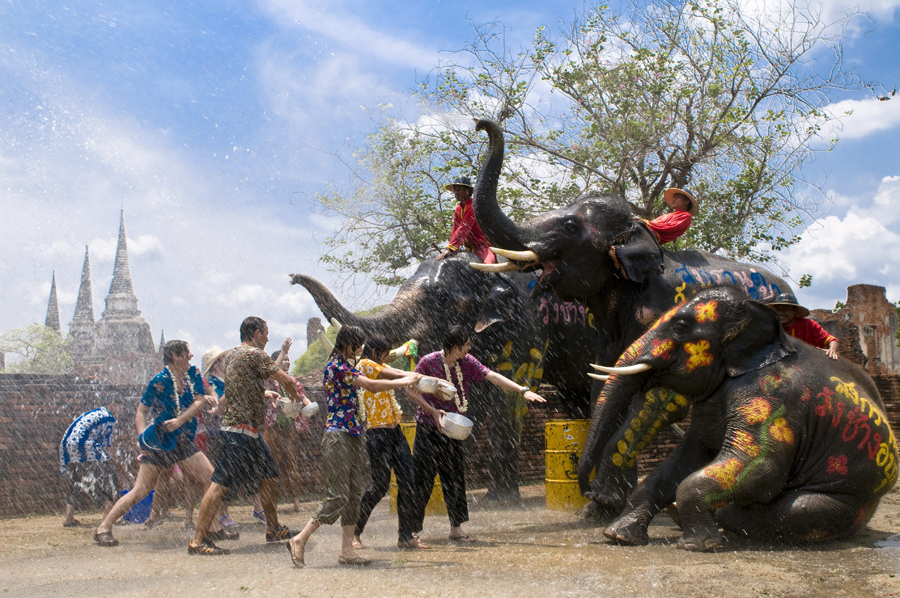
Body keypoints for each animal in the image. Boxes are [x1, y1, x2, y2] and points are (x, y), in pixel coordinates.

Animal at [288, 253, 596, 502]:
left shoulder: (529, 323)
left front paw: (499, 500)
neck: (487, 263)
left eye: (442, 298)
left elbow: (510, 393)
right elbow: (470, 398)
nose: (291, 278)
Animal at [472, 118, 796, 510]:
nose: (481, 124)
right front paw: (602, 507)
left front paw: (605, 501)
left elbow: (656, 398)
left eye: (570, 227)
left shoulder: (666, 315)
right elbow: (606, 386)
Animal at [580, 288, 896, 556]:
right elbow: (686, 459)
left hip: (853, 500)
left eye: (680, 328)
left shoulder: (771, 397)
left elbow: (761, 467)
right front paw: (618, 536)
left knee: (799, 509)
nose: (590, 492)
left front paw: (697, 545)